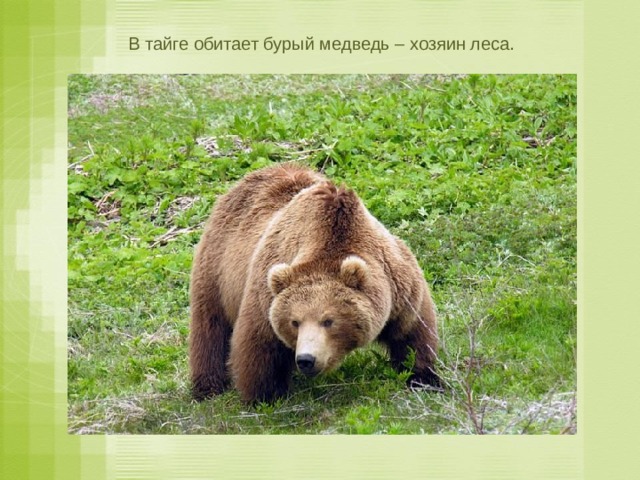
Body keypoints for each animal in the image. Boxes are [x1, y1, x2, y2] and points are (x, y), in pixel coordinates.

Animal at [189, 163, 440, 403]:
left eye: (328, 321)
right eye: (295, 322)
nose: (306, 359)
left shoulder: (398, 284)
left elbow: (413, 332)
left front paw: (424, 379)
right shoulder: (265, 294)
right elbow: (260, 344)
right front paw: (265, 397)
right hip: (217, 267)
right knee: (210, 327)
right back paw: (207, 387)